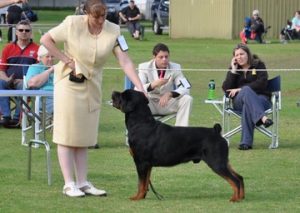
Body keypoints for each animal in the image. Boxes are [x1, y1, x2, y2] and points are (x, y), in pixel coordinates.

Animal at [111, 89, 245, 201]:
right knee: (239, 177)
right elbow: (145, 182)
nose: (113, 92)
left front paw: (137, 197)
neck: (141, 123)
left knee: (234, 180)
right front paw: (142, 196)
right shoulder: (147, 164)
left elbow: (141, 183)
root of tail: (216, 131)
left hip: (216, 162)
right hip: (223, 161)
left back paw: (235, 199)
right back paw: (241, 197)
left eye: (122, 95)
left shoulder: (141, 162)